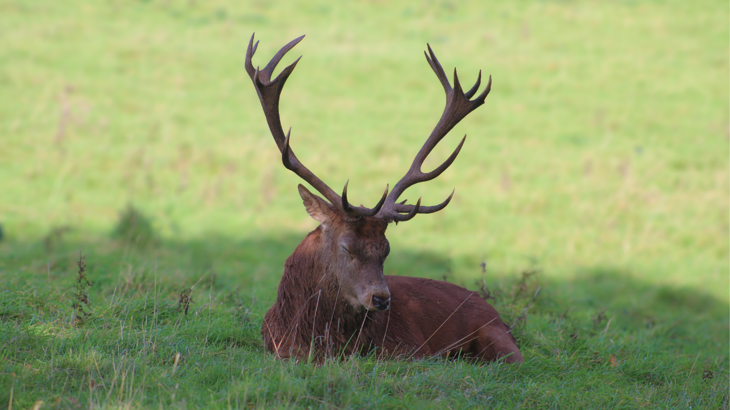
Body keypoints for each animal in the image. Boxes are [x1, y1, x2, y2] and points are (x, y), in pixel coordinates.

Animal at [245, 34, 523, 364]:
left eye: (386, 249)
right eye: (346, 247)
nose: (381, 299)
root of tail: (498, 314)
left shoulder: (410, 349)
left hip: (499, 338)